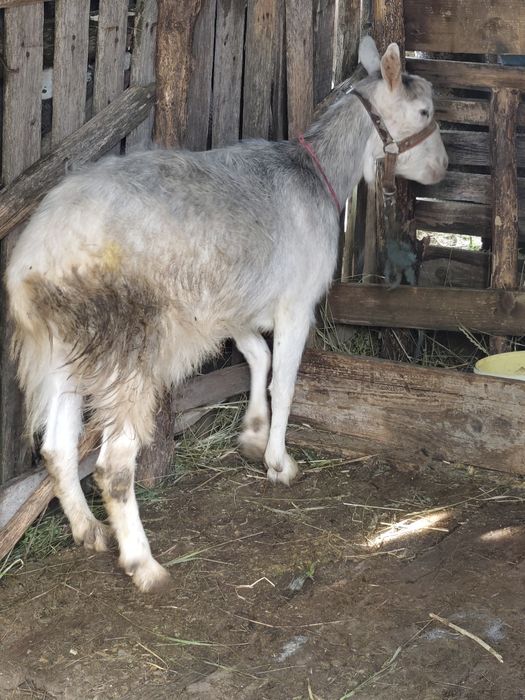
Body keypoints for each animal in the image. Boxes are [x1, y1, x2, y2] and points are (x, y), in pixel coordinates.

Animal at [6, 38, 448, 592]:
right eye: (424, 111)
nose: (443, 169)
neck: (320, 172)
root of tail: (40, 254)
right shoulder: (295, 301)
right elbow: (284, 381)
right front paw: (280, 462)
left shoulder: (233, 306)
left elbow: (257, 358)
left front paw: (253, 434)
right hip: (129, 344)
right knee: (112, 465)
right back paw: (144, 564)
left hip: (60, 344)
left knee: (56, 449)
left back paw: (90, 531)